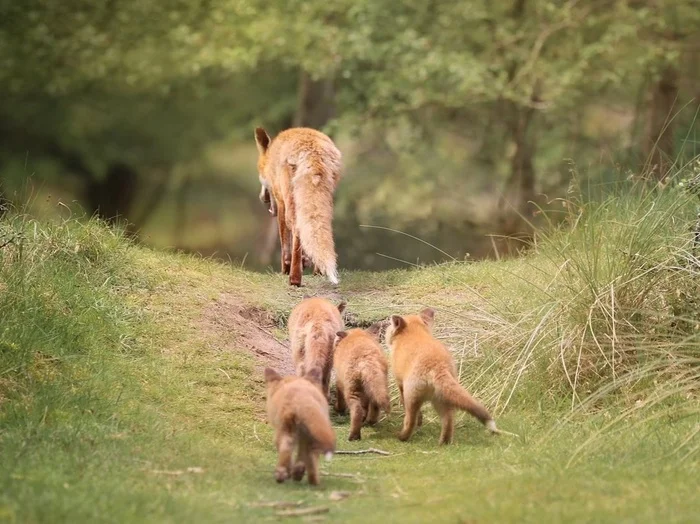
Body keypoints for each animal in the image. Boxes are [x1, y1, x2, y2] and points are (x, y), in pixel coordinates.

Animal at [254, 126, 342, 286]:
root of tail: (312, 150)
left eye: (260, 175)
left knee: (296, 227)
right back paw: (317, 271)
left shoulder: (281, 202)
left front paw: (285, 268)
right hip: (324, 200)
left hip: (290, 201)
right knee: (318, 228)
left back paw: (294, 278)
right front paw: (305, 261)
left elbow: (284, 242)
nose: (262, 198)